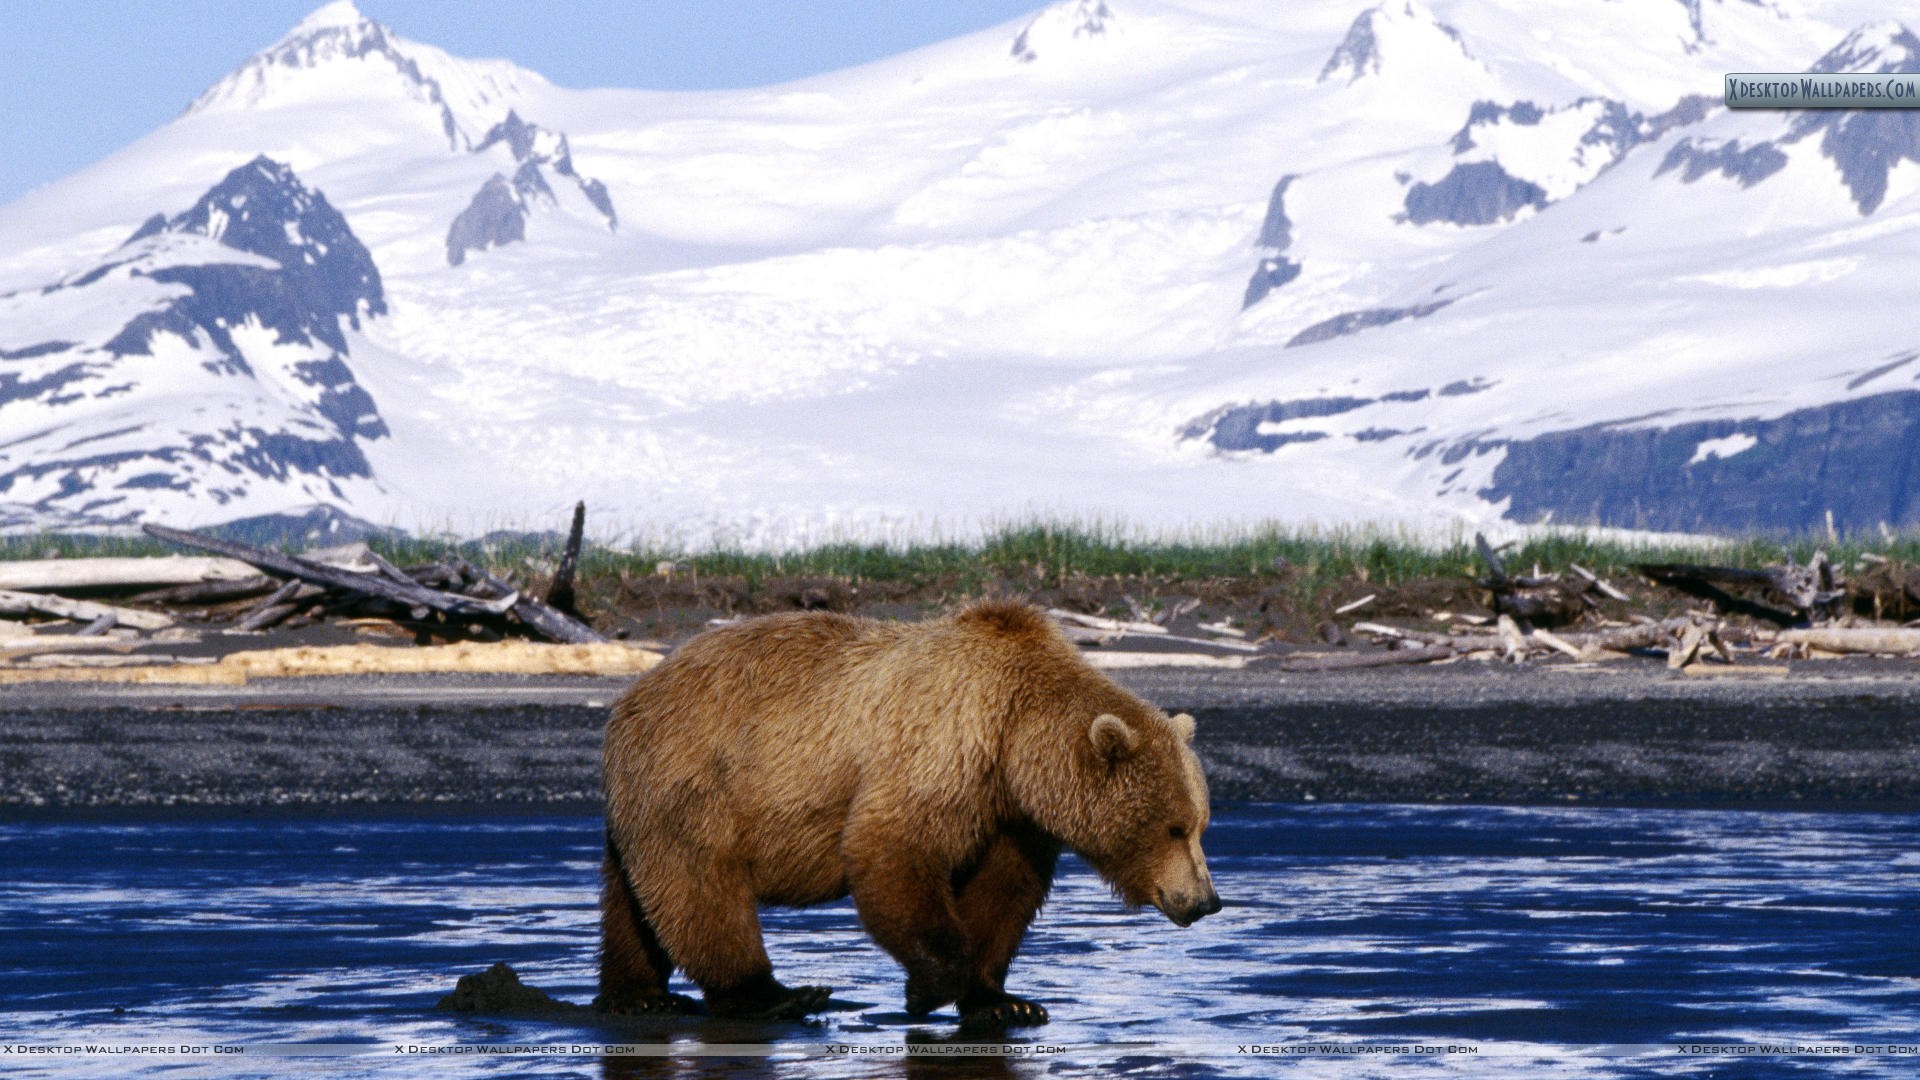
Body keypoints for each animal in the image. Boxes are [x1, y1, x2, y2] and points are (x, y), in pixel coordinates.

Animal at [595, 599, 1213, 1022]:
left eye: (1200, 825)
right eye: (1174, 827)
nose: (1206, 900)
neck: (1016, 737)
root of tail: (629, 696)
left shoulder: (1012, 814)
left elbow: (1003, 892)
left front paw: (1004, 1002)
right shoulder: (945, 744)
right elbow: (892, 846)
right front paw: (928, 987)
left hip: (650, 796)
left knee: (635, 897)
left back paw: (639, 995)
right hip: (698, 775)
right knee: (700, 885)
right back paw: (775, 994)